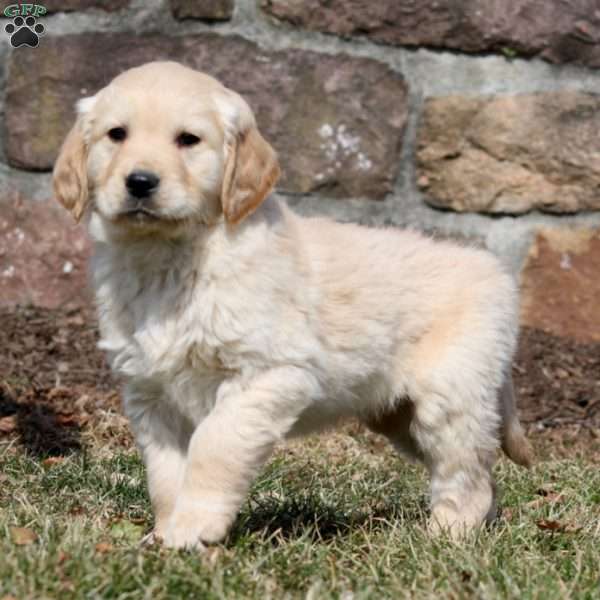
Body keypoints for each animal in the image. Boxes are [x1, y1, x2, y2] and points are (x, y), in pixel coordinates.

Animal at [50, 61, 528, 548]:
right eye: (116, 134)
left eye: (188, 139)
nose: (140, 182)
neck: (169, 257)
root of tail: (495, 270)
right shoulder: (150, 391)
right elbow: (166, 472)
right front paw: (166, 534)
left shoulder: (267, 374)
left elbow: (214, 446)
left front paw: (194, 529)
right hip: (398, 415)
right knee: (484, 475)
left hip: (450, 398)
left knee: (465, 474)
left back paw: (444, 537)